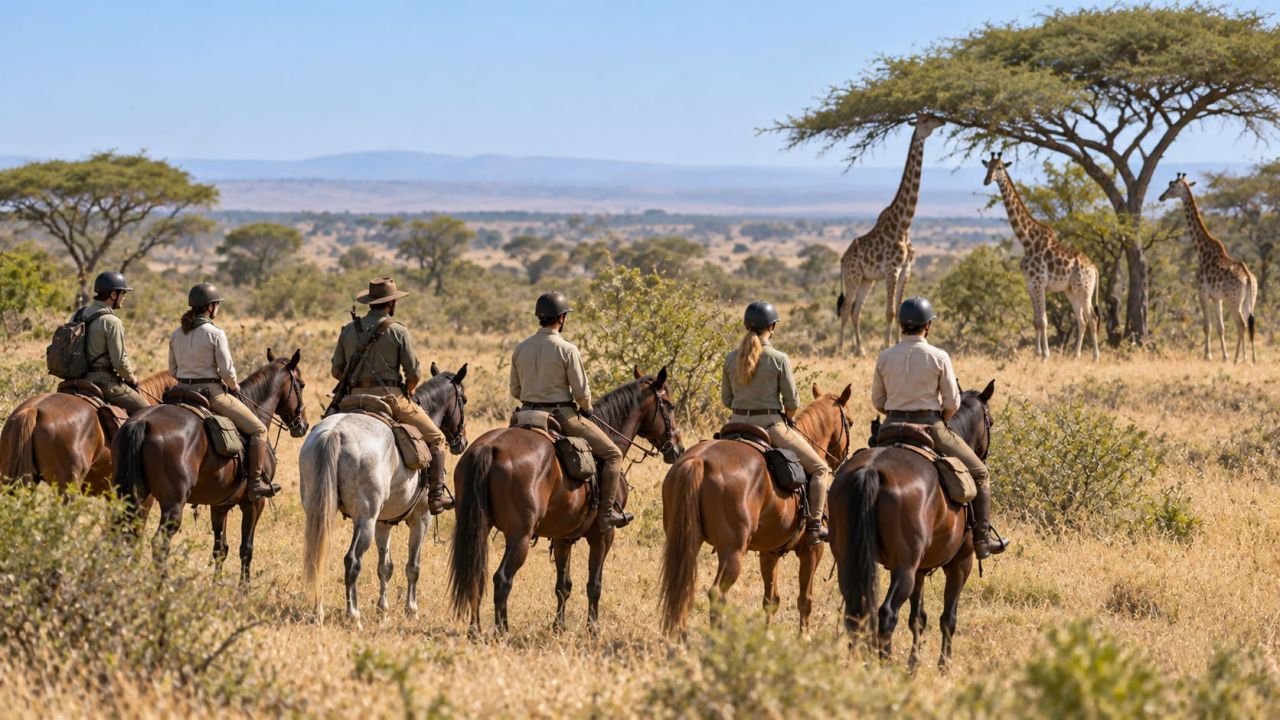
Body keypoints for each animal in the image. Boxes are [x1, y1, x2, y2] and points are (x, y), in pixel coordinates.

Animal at [112, 350, 309, 583]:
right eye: (301, 384)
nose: (303, 424)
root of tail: (142, 422)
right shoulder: (254, 503)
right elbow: (246, 548)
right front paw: (243, 588)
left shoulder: (220, 506)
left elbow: (220, 548)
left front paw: (217, 585)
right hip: (172, 505)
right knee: (159, 544)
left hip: (133, 497)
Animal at [300, 362, 470, 624]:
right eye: (464, 400)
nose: (462, 442)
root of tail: (334, 434)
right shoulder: (421, 519)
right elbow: (413, 567)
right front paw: (411, 609)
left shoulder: (384, 523)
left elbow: (385, 567)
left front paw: (383, 608)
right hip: (365, 520)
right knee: (352, 560)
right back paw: (354, 615)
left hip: (320, 511)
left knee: (318, 555)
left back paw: (318, 612)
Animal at [449, 367, 683, 635]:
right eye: (670, 406)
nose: (678, 449)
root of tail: (489, 447)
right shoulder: (603, 535)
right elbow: (594, 584)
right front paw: (593, 628)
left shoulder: (563, 537)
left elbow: (563, 585)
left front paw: (558, 626)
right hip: (520, 536)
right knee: (502, 578)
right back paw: (502, 630)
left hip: (478, 527)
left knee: (476, 574)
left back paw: (474, 630)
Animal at [659, 383, 853, 637]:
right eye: (850, 422)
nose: (842, 460)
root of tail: (698, 462)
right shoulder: (812, 551)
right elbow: (805, 599)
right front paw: (804, 637)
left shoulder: (769, 552)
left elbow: (771, 599)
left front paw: (768, 635)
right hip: (732, 551)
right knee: (717, 593)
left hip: (685, 540)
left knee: (683, 584)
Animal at [829, 380, 994, 671]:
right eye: (991, 422)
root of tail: (870, 470)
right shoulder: (960, 564)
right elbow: (948, 618)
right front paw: (943, 666)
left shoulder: (921, 569)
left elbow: (918, 617)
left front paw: (914, 664)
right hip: (904, 567)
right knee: (887, 613)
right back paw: (884, 664)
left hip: (849, 560)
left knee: (855, 612)